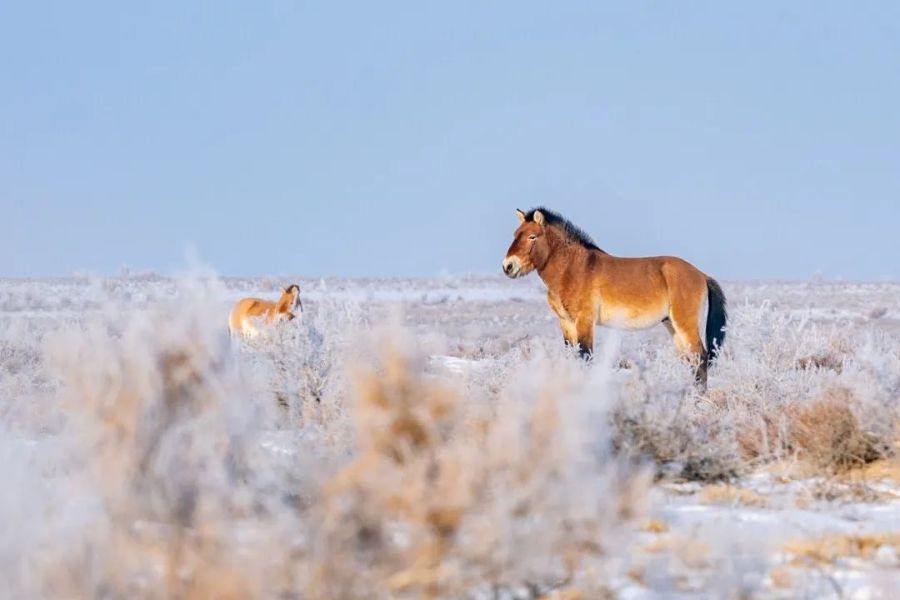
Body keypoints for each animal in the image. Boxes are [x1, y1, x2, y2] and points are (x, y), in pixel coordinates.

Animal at [502, 206, 728, 384]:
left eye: (532, 236)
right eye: (515, 234)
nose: (508, 266)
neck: (574, 269)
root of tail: (701, 274)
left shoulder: (584, 322)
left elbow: (585, 358)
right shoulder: (566, 323)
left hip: (684, 324)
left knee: (700, 358)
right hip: (672, 325)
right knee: (692, 361)